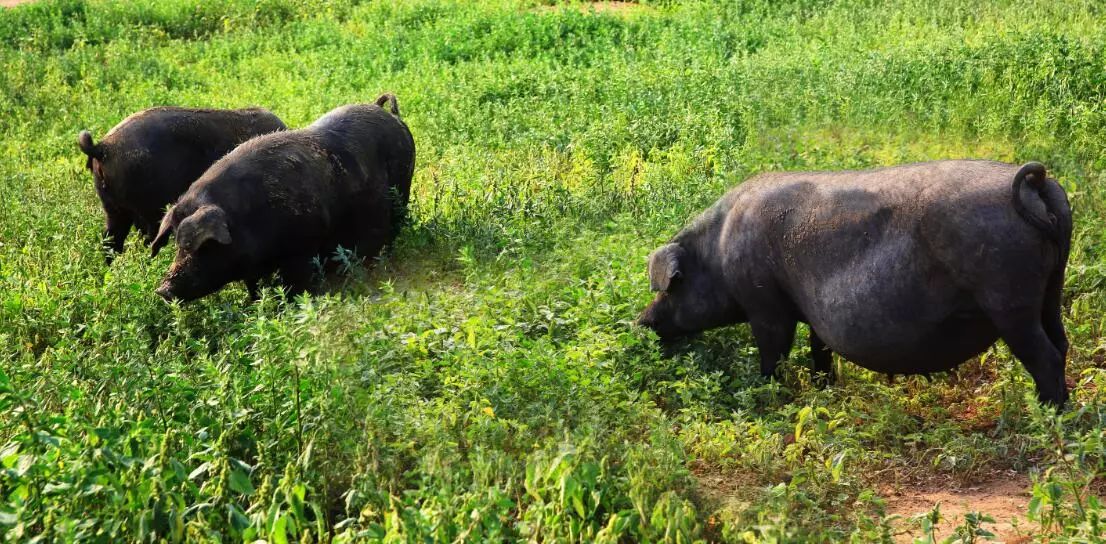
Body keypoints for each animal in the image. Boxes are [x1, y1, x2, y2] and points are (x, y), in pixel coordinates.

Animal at [149, 95, 415, 302]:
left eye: (198, 245)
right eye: (175, 243)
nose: (163, 290)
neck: (245, 216)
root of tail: (388, 113)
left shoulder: (302, 251)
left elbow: (297, 286)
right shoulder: (252, 269)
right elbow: (254, 288)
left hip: (402, 188)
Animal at [641, 159, 1070, 406]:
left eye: (672, 285)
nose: (641, 321)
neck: (717, 252)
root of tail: (1035, 183)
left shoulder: (765, 306)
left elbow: (774, 353)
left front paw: (770, 396)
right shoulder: (812, 314)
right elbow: (819, 349)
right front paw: (825, 390)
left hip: (1009, 300)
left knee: (1045, 356)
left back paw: (1049, 413)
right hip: (1051, 288)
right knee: (1061, 343)